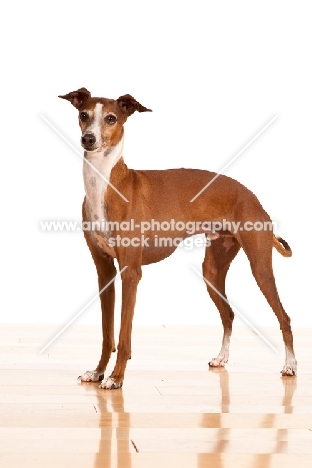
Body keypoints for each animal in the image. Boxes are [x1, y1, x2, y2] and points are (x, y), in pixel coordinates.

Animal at [59, 87, 298, 388]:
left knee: (284, 318)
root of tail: (252, 196)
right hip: (212, 270)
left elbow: (124, 336)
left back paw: (290, 365)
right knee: (229, 314)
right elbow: (107, 334)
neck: (106, 184)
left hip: (260, 267)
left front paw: (115, 377)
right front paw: (98, 371)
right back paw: (222, 358)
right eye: (83, 115)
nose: (88, 139)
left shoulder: (131, 272)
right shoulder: (105, 272)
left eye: (111, 118)